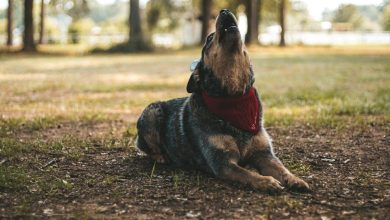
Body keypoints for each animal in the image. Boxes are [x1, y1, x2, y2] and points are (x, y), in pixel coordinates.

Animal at [137, 8, 310, 192]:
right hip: (151, 111)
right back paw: (161, 156)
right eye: (209, 38)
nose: (224, 10)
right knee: (147, 147)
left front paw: (294, 179)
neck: (234, 97)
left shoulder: (264, 154)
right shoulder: (222, 162)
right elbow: (247, 174)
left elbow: (281, 167)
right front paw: (266, 181)